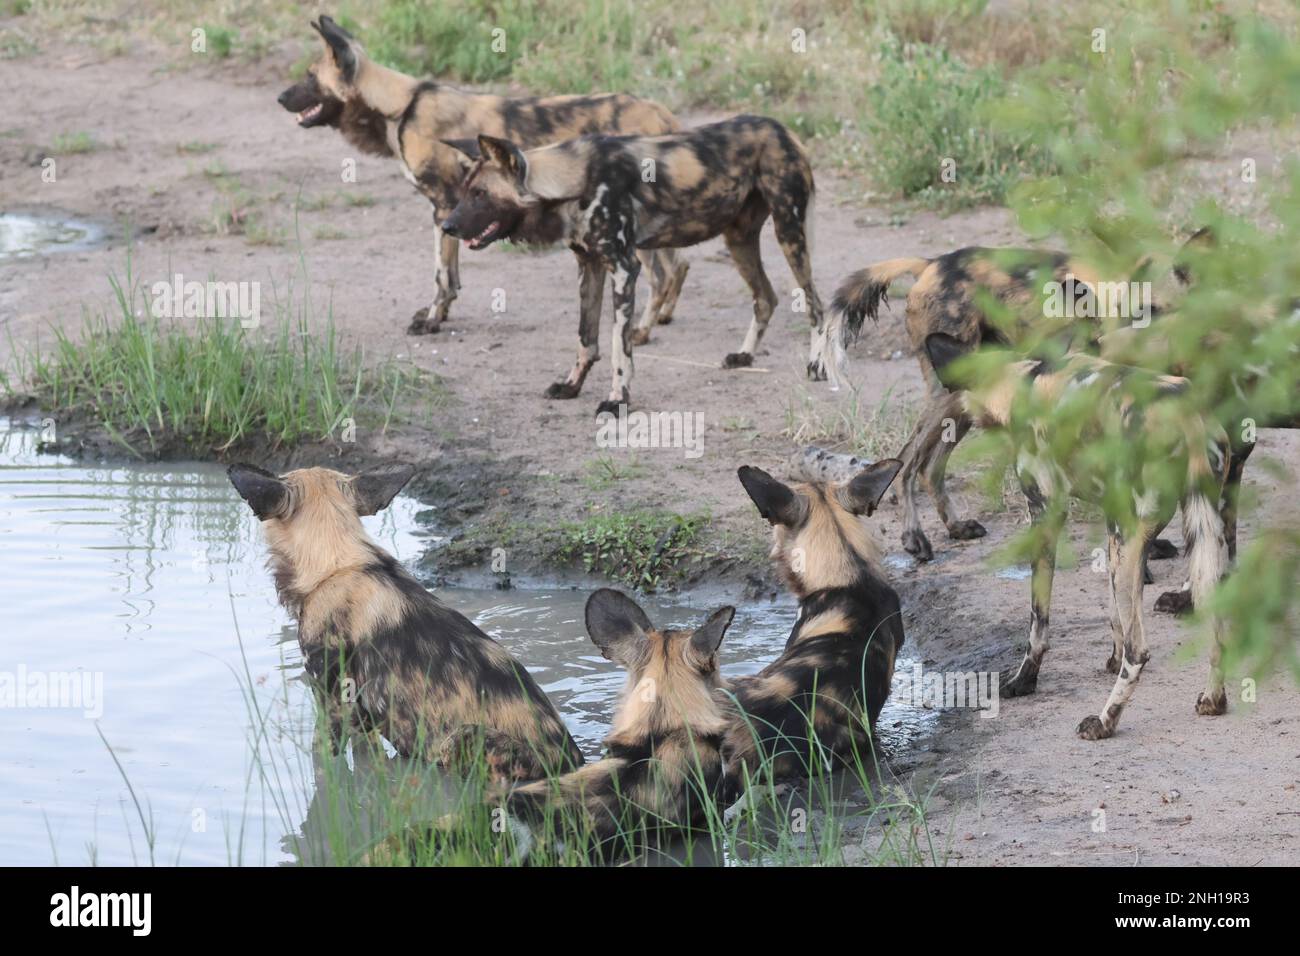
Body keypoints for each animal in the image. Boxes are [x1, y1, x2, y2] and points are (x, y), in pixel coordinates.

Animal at [228, 460, 585, 780]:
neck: (339, 565)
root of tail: (571, 761)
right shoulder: (364, 719)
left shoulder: (331, 703)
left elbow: (323, 763)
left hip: (460, 740)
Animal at [276, 14, 691, 338]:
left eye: (310, 77)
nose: (279, 98)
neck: (400, 107)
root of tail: (664, 114)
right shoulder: (454, 214)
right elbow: (453, 276)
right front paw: (440, 314)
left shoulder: (443, 209)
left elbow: (441, 277)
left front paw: (432, 320)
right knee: (678, 266)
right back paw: (663, 317)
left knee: (660, 276)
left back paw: (640, 332)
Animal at [441, 113, 837, 416]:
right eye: (465, 191)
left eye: (480, 194)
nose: (446, 226)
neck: (571, 181)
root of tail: (782, 129)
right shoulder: (590, 266)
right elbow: (586, 339)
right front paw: (571, 386)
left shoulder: (623, 269)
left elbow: (619, 346)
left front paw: (617, 399)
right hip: (738, 240)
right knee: (766, 298)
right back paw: (744, 355)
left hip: (789, 232)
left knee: (816, 306)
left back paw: (817, 364)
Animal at [925, 330, 1227, 738]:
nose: (949, 421)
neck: (1024, 379)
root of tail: (1184, 412)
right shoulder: (1112, 522)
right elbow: (1115, 616)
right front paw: (1111, 657)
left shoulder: (1046, 514)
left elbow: (1038, 621)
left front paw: (1024, 680)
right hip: (1191, 531)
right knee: (1218, 622)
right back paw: (1213, 700)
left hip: (1128, 537)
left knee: (1139, 651)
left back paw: (1104, 722)